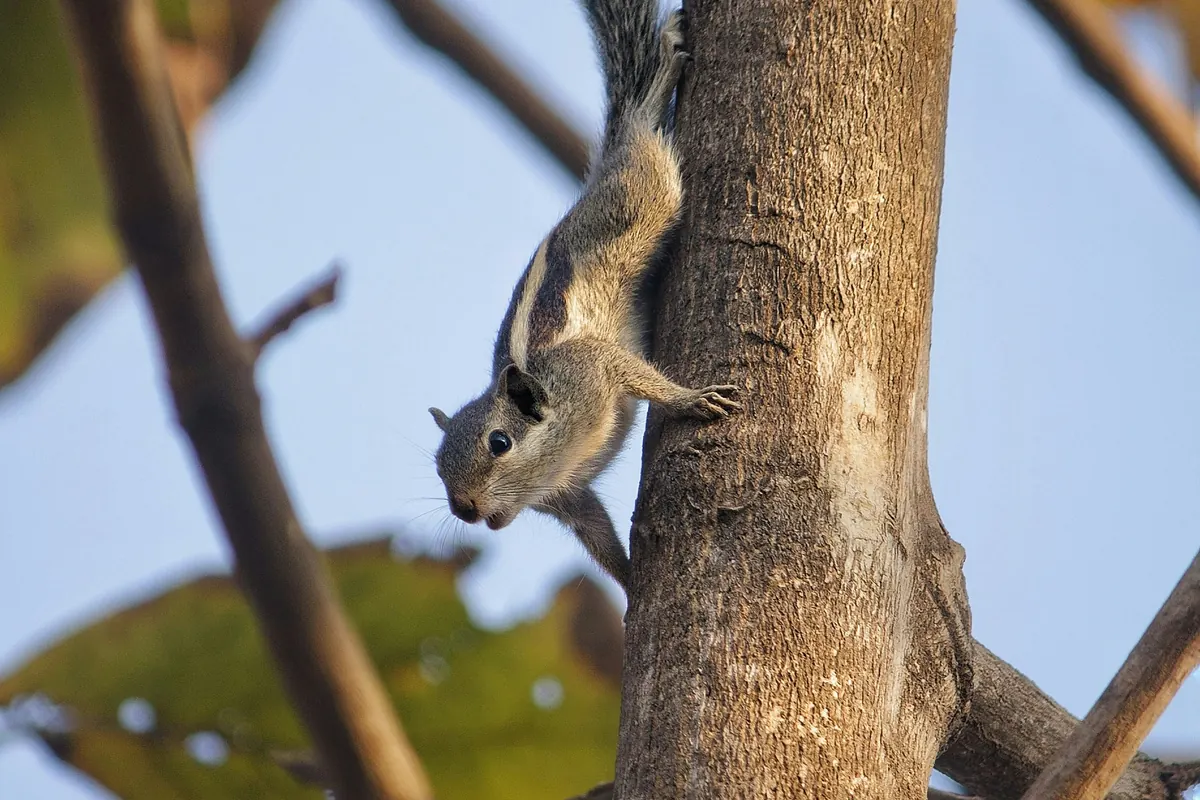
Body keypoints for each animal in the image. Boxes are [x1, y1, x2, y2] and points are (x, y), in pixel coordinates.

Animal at [428, 0, 741, 592]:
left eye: (498, 443)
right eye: (437, 464)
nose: (464, 508)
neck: (560, 450)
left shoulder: (590, 367)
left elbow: (640, 375)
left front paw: (691, 400)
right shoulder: (569, 497)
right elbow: (596, 532)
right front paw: (629, 578)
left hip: (640, 200)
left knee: (642, 134)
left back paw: (659, 74)